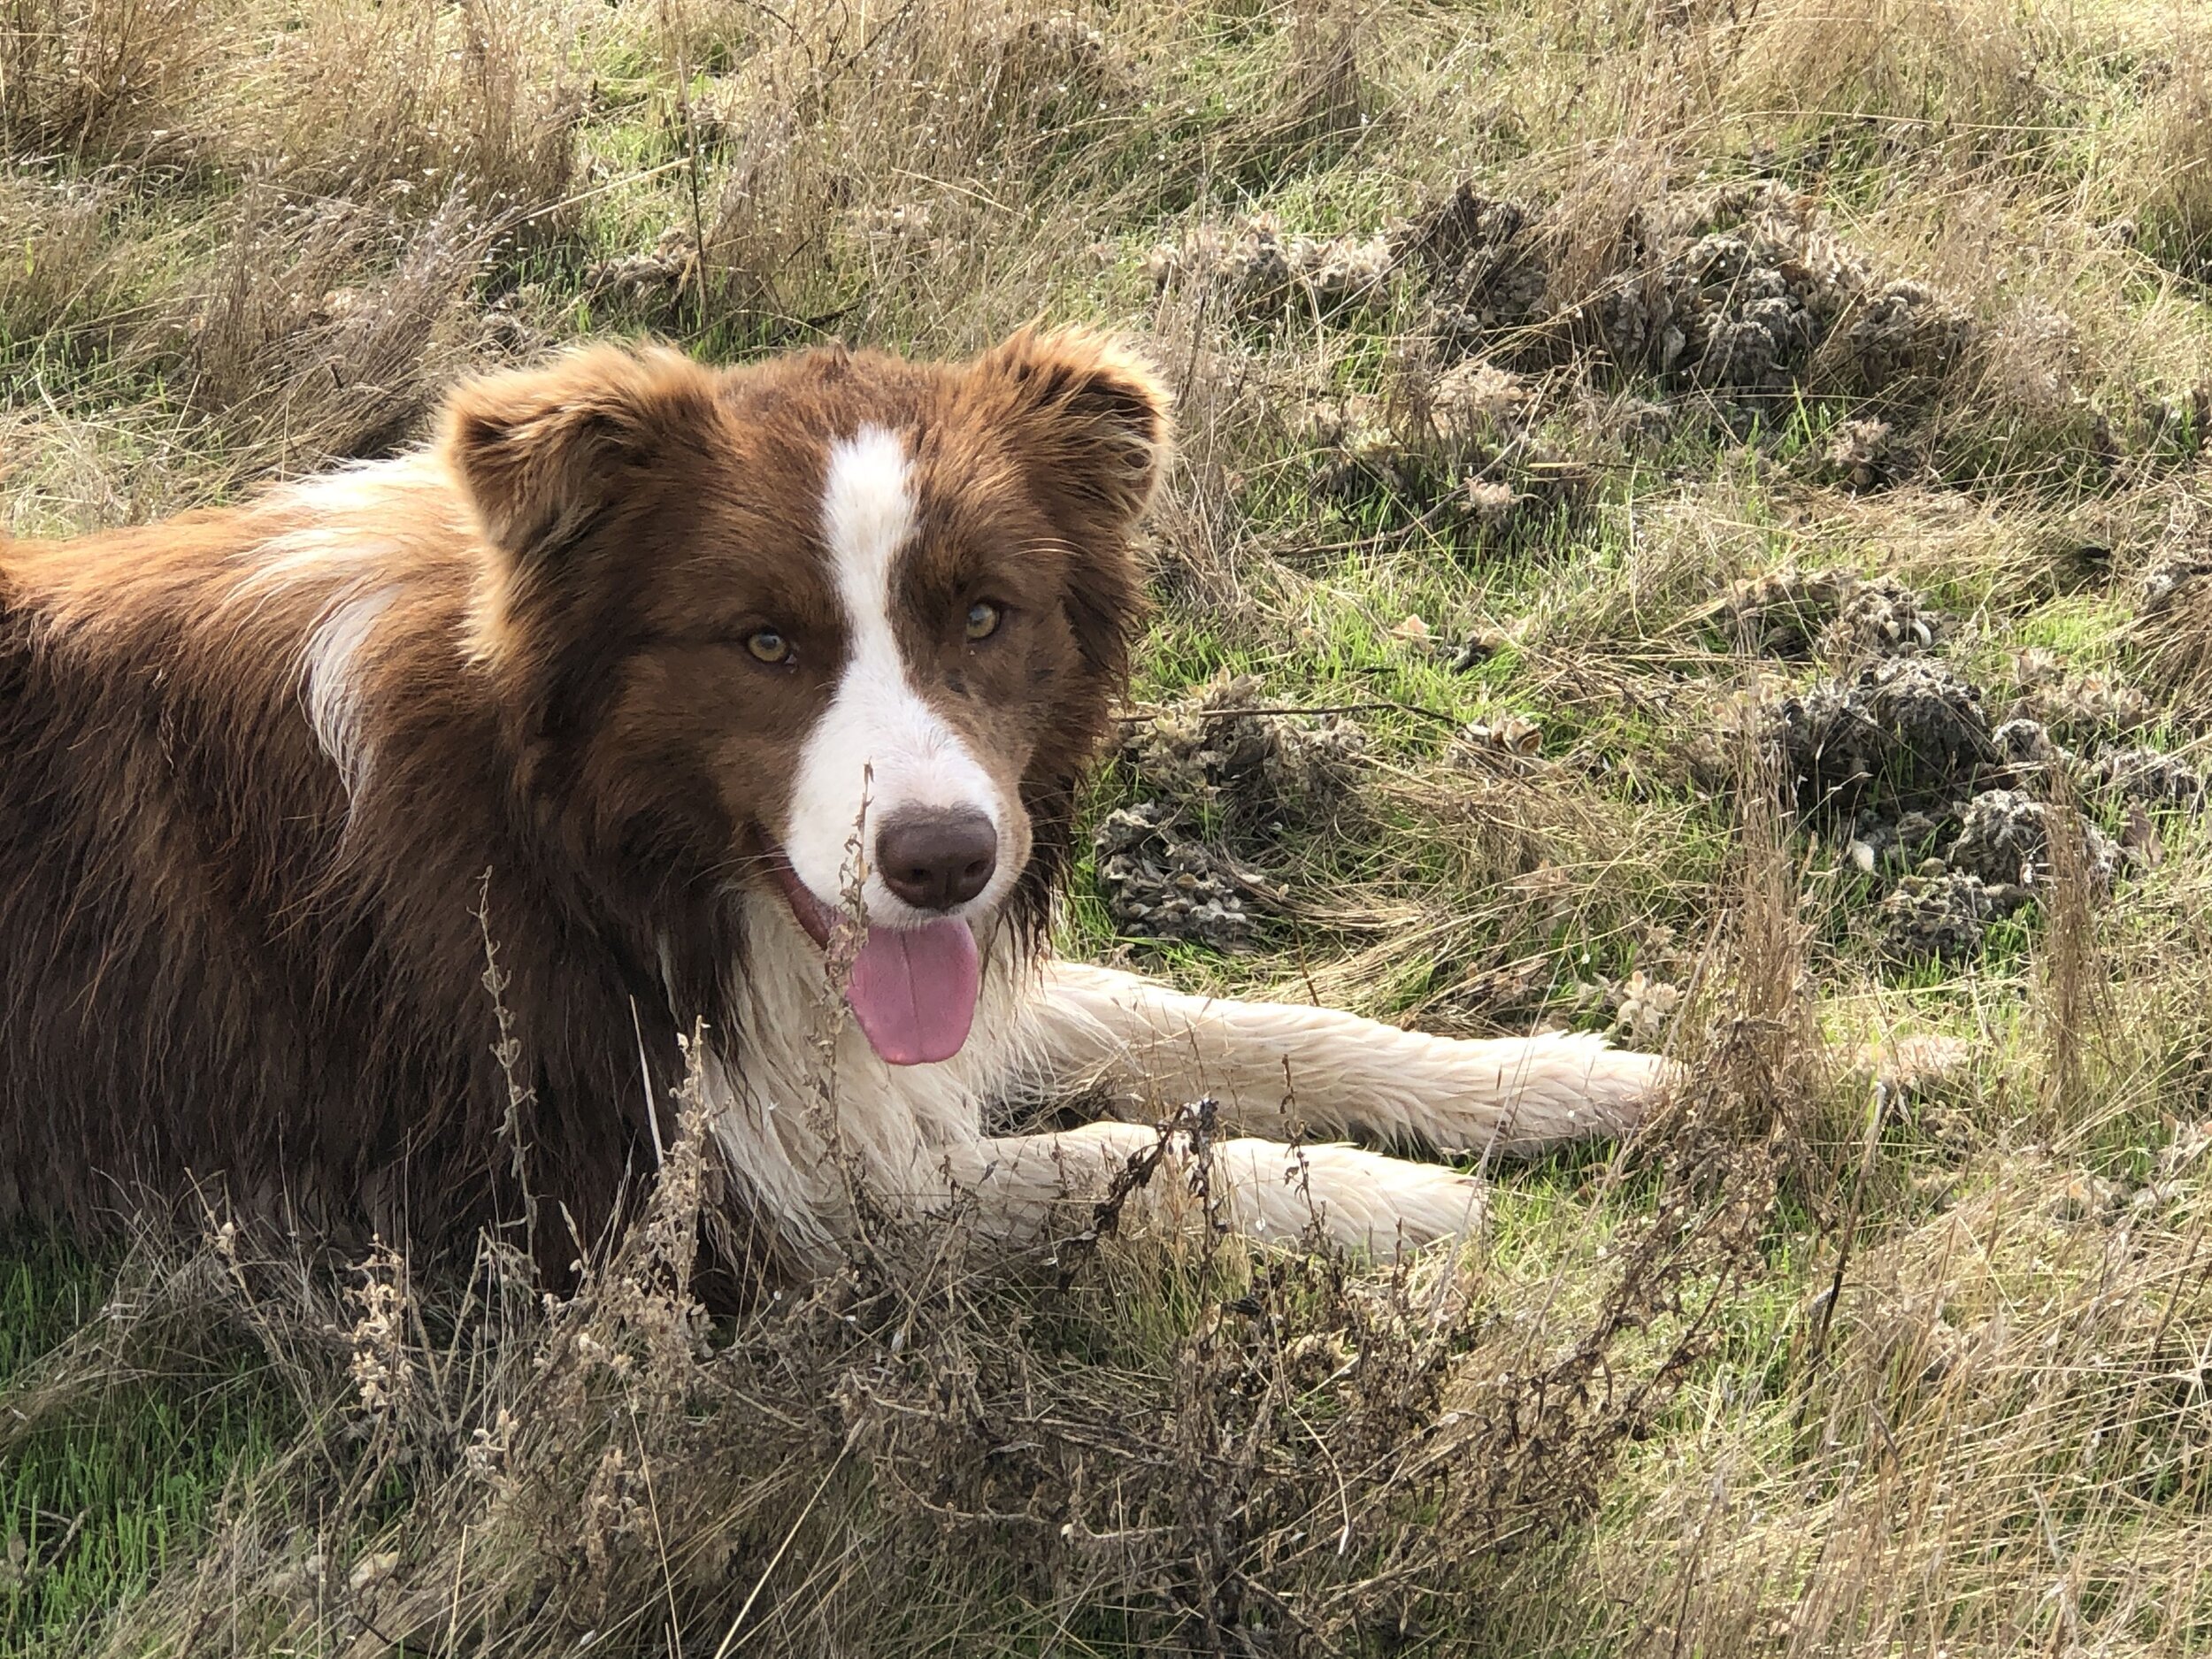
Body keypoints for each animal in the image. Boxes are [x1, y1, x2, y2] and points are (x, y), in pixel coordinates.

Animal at [0, 327, 1663, 1283]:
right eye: (762, 642)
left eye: (984, 615)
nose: (943, 863)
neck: (578, 839)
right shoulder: (702, 1188)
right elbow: (1104, 1163)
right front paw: (1389, 1201)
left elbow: (1215, 1021)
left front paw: (1551, 1079)